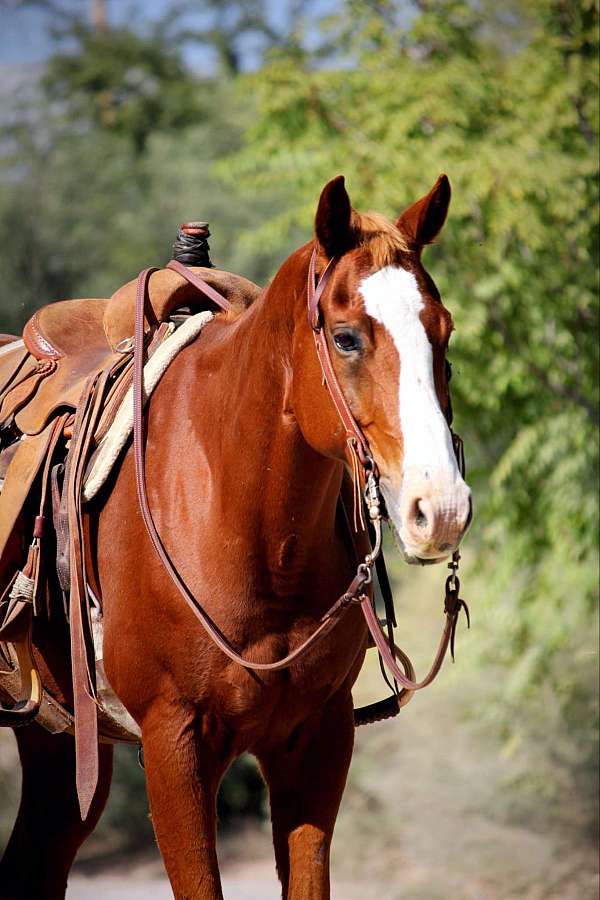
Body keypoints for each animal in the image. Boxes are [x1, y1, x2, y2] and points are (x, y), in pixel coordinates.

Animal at [0, 172, 472, 896]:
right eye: (346, 338)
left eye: (443, 334)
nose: (440, 507)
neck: (247, 527)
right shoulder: (174, 744)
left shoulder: (317, 740)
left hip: (57, 739)